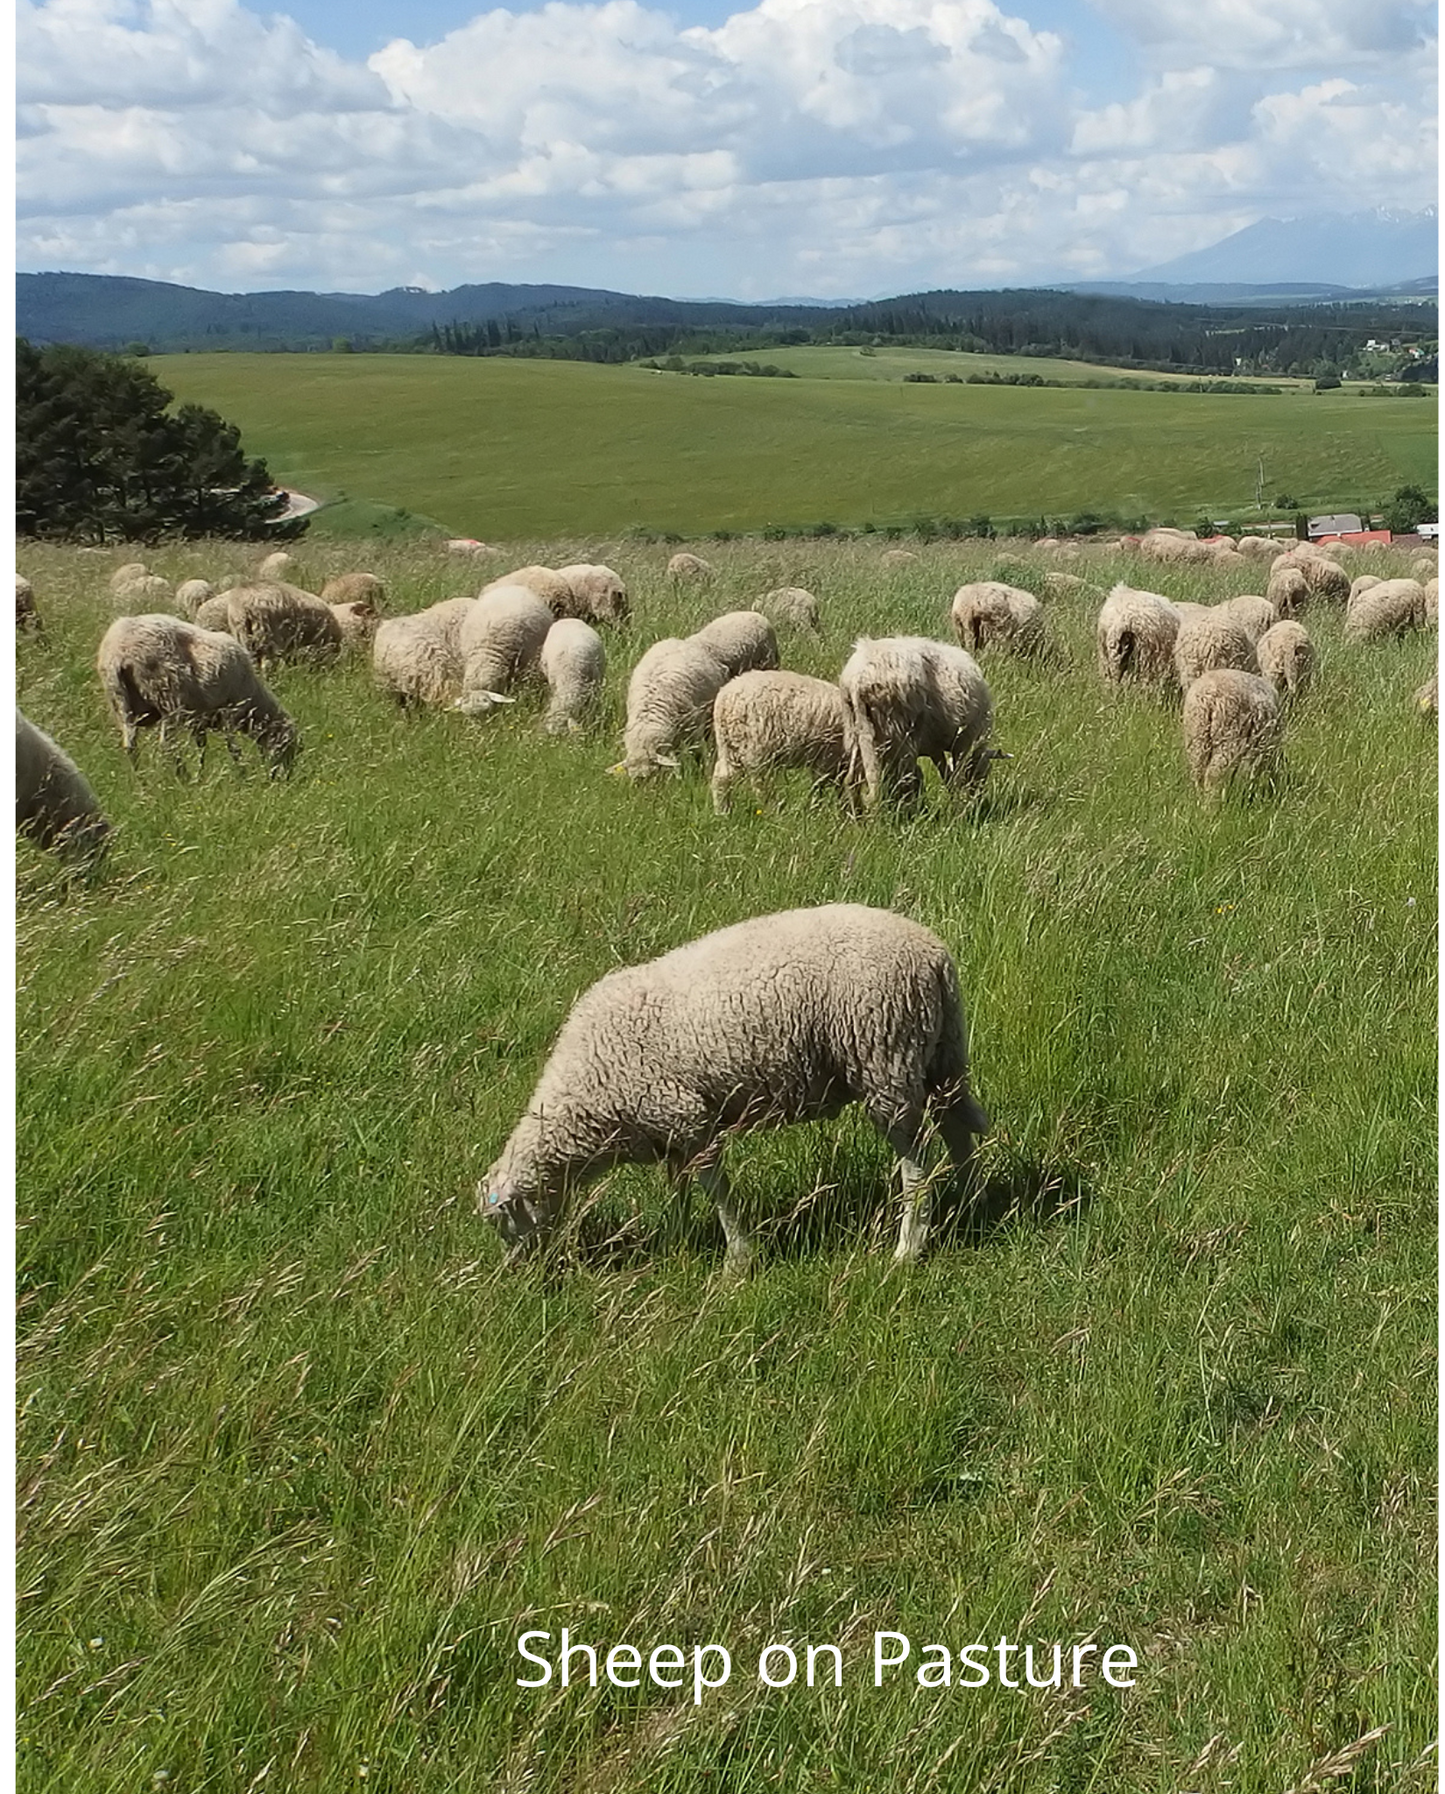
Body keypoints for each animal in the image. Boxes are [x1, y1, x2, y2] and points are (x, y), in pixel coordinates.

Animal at [96, 614, 299, 776]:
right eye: (288, 749)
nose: (284, 778)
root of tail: (119, 651)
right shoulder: (229, 712)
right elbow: (232, 747)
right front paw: (242, 773)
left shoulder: (199, 720)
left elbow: (202, 747)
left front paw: (201, 775)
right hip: (167, 697)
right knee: (167, 745)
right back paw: (182, 778)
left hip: (120, 701)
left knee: (130, 747)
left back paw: (143, 786)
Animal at [477, 903, 989, 1271]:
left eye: (503, 1223)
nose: (516, 1273)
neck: (583, 1102)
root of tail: (932, 954)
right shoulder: (667, 1129)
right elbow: (679, 1187)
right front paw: (680, 1242)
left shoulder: (687, 1117)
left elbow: (714, 1189)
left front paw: (737, 1259)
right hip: (940, 1056)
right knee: (956, 1128)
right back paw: (973, 1203)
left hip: (885, 1059)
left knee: (916, 1162)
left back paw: (909, 1248)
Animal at [710, 671, 849, 814]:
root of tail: (724, 700)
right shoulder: (829, 756)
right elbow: (820, 784)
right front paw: (817, 809)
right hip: (758, 748)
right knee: (761, 785)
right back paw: (775, 810)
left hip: (729, 745)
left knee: (722, 778)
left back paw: (723, 811)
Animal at [839, 636, 996, 810]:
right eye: (984, 774)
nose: (977, 798)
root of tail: (858, 680)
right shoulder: (963, 742)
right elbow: (954, 775)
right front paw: (958, 804)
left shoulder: (935, 747)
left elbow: (945, 773)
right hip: (895, 732)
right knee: (885, 783)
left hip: (855, 728)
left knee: (852, 781)